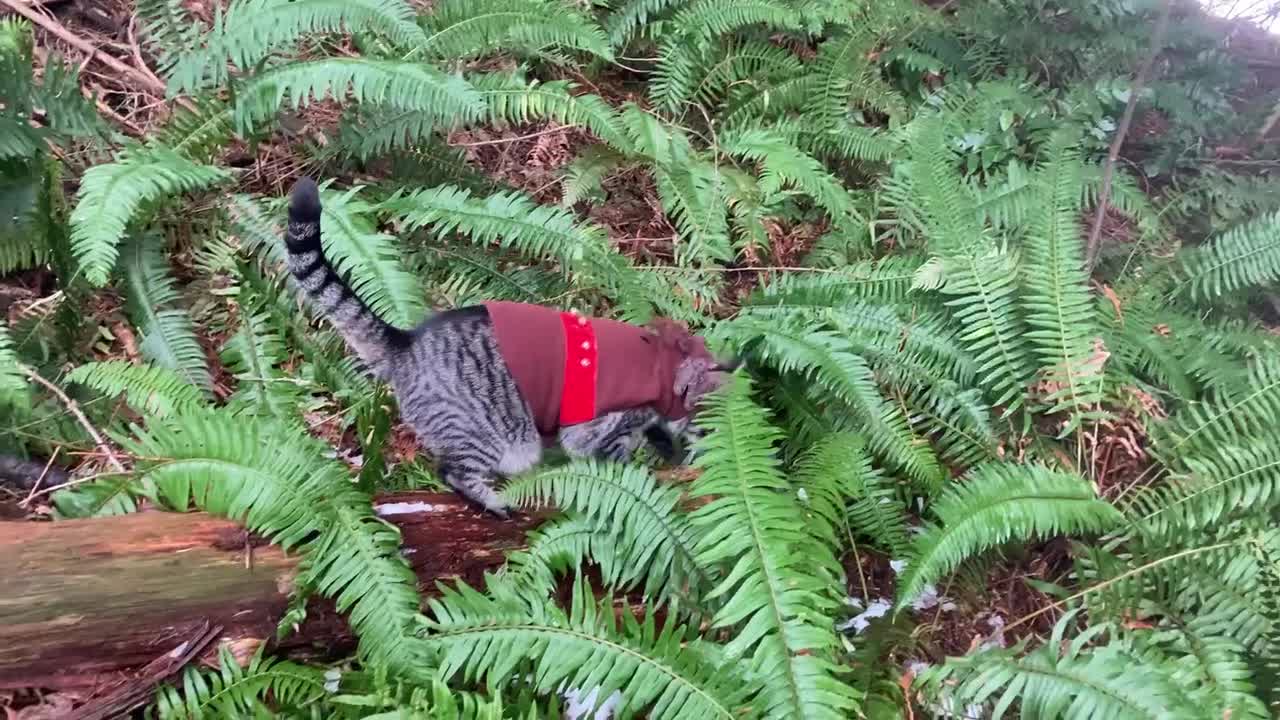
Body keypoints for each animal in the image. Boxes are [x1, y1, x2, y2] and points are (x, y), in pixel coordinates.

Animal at [285, 179, 737, 515]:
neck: (665, 366)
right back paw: (490, 497)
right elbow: (611, 455)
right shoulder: (598, 427)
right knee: (453, 471)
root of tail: (408, 340)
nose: (713, 453)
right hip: (483, 432)